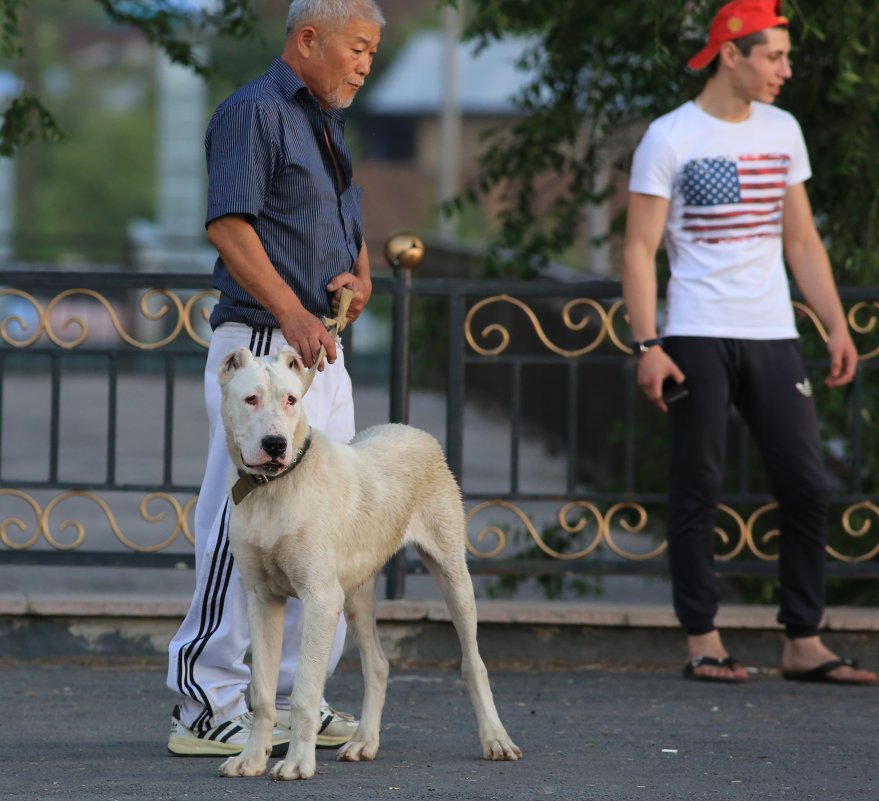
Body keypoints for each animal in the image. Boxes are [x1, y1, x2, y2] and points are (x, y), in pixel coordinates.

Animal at [214, 346, 524, 780]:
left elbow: (305, 691)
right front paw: (252, 759)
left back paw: (496, 739)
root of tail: (412, 429)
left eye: (291, 399)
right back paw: (364, 742)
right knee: (377, 665)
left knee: (473, 662)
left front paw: (297, 763)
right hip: (356, 595)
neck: (275, 488)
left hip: (452, 575)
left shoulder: (320, 599)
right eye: (250, 399)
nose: (275, 445)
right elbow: (261, 690)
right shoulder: (261, 599)